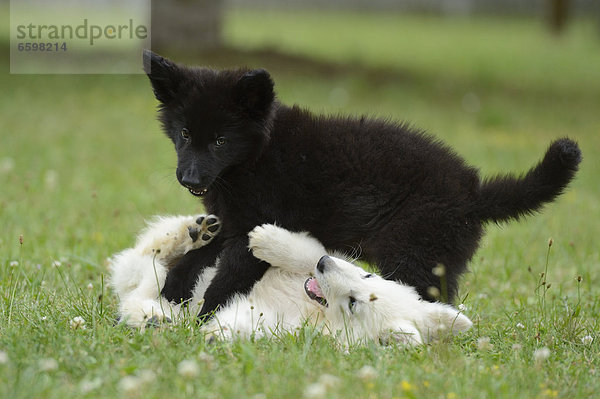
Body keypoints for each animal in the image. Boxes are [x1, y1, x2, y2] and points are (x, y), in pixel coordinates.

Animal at [109, 217, 474, 346]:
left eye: (354, 303)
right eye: (368, 274)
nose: (325, 266)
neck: (313, 310)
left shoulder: (283, 325)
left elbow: (248, 322)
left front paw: (218, 334)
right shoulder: (312, 264)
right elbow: (307, 252)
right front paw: (269, 240)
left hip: (147, 288)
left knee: (141, 287)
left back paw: (155, 317)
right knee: (150, 256)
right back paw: (193, 231)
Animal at [142, 50, 580, 318]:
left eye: (220, 140)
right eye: (184, 134)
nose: (189, 179)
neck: (257, 156)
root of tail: (474, 193)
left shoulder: (252, 233)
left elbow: (225, 280)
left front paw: (203, 321)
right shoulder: (231, 223)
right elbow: (194, 258)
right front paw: (169, 297)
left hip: (414, 257)